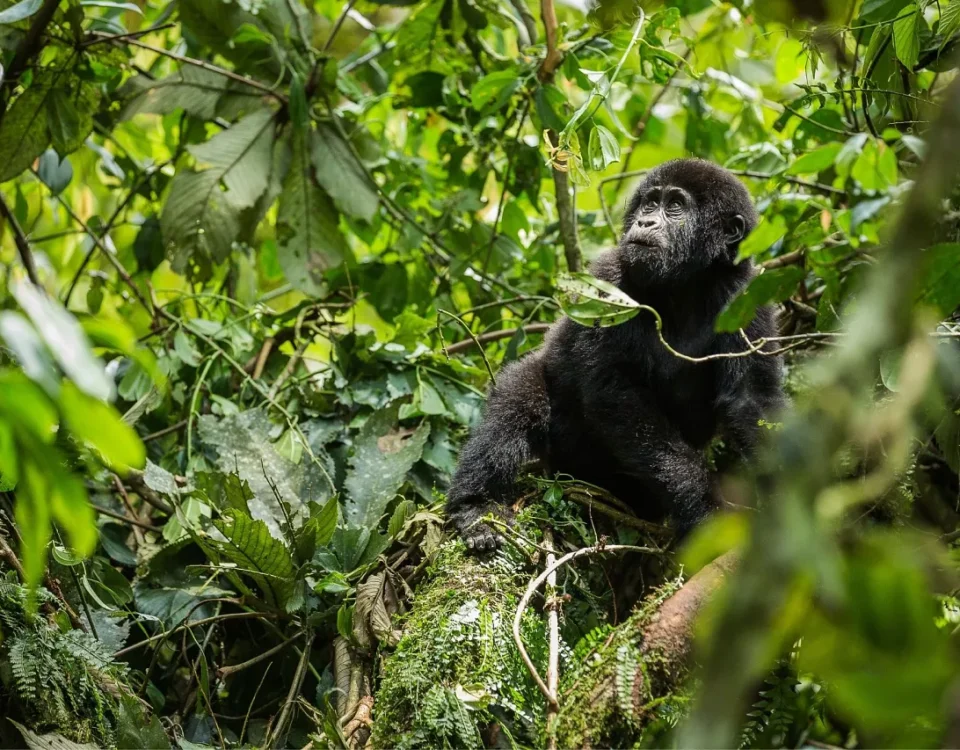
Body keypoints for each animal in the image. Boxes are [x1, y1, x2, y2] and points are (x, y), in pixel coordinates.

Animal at [446, 158, 785, 552]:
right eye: (649, 204)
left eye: (675, 205)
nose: (645, 222)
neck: (686, 284)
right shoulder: (608, 280)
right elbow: (618, 396)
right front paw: (704, 509)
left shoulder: (748, 293)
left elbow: (751, 400)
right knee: (519, 400)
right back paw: (476, 507)